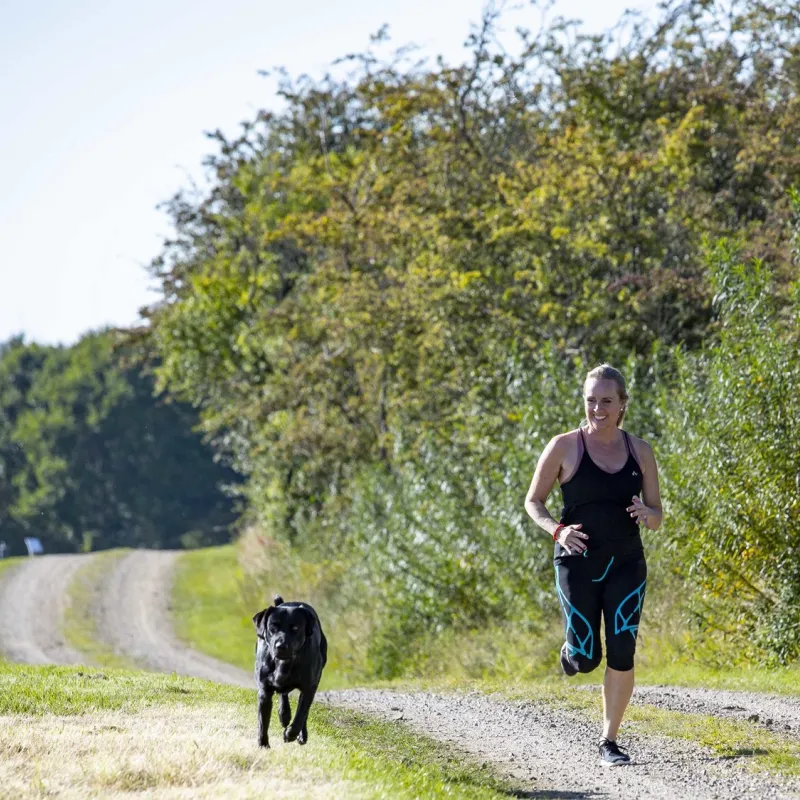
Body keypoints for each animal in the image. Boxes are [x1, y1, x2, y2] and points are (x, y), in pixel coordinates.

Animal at [250, 592, 324, 748]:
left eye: (295, 628)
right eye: (272, 626)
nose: (281, 646)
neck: (284, 663)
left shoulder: (308, 688)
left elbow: (301, 715)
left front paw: (290, 734)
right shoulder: (264, 691)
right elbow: (263, 722)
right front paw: (263, 745)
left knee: (303, 713)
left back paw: (301, 734)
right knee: (283, 695)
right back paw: (284, 714)